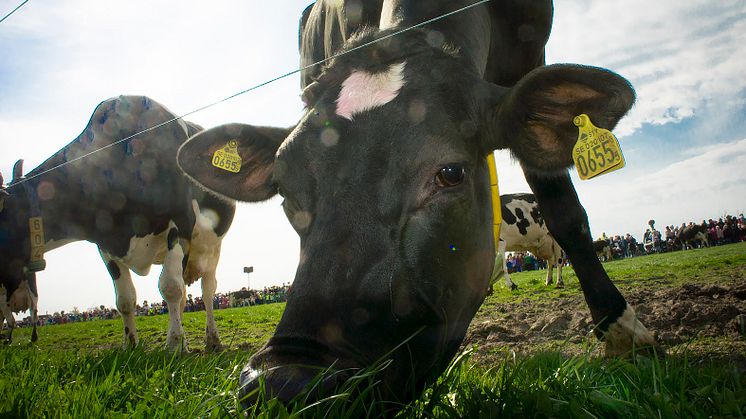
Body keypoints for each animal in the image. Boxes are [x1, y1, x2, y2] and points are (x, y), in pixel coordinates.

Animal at [0, 95, 232, 352]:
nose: (18, 300)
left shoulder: (181, 224)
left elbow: (170, 287)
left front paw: (173, 345)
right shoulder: (106, 245)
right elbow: (125, 300)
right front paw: (131, 344)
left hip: (212, 247)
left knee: (207, 290)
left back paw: (212, 339)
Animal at [176, 0, 656, 410]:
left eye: (451, 173)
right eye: (286, 191)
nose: (282, 383)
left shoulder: (530, 54)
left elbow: (565, 210)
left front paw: (622, 329)